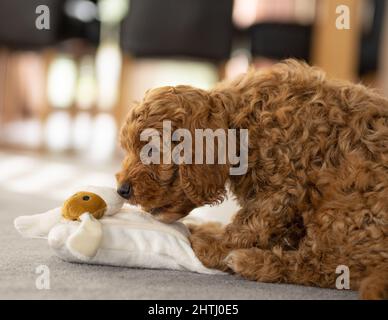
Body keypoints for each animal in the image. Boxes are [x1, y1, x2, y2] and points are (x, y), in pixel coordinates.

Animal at [116, 60, 388, 300]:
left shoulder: (283, 186)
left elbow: (251, 222)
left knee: (327, 264)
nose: (121, 189)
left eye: (151, 150)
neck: (243, 123)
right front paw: (207, 229)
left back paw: (251, 261)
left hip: (344, 204)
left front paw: (213, 246)